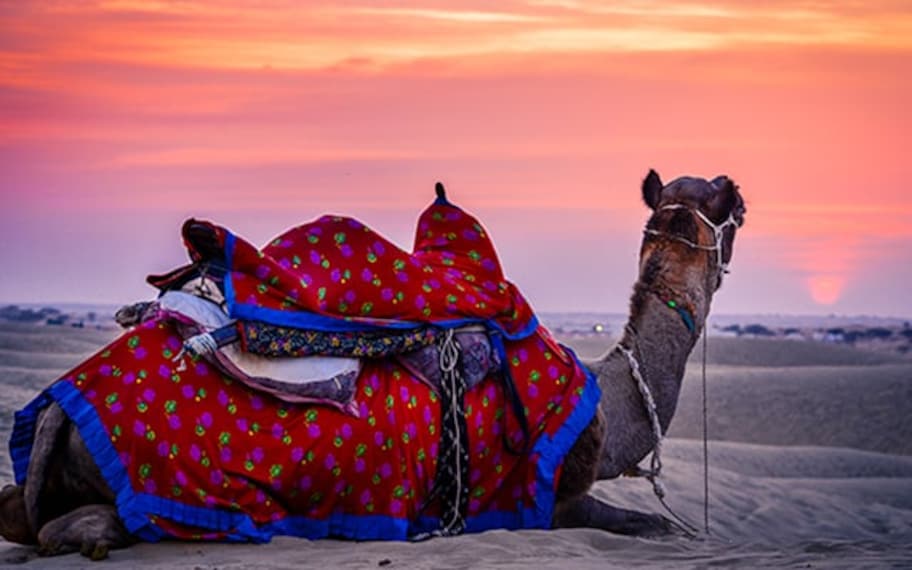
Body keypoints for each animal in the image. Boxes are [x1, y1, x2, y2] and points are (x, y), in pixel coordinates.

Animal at [0, 170, 744, 559]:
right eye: (733, 204)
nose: (738, 186)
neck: (605, 403)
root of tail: (56, 410)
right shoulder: (543, 497)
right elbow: (657, 526)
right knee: (82, 526)